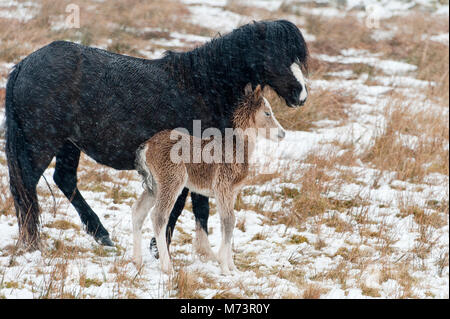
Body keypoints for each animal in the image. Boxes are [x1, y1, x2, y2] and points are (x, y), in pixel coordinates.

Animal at [5, 20, 310, 251]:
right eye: (278, 55)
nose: (302, 95)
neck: (202, 86)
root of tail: (24, 65)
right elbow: (182, 205)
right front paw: (160, 247)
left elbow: (198, 206)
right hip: (42, 143)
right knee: (28, 186)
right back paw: (33, 242)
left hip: (68, 144)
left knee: (64, 180)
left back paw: (101, 235)